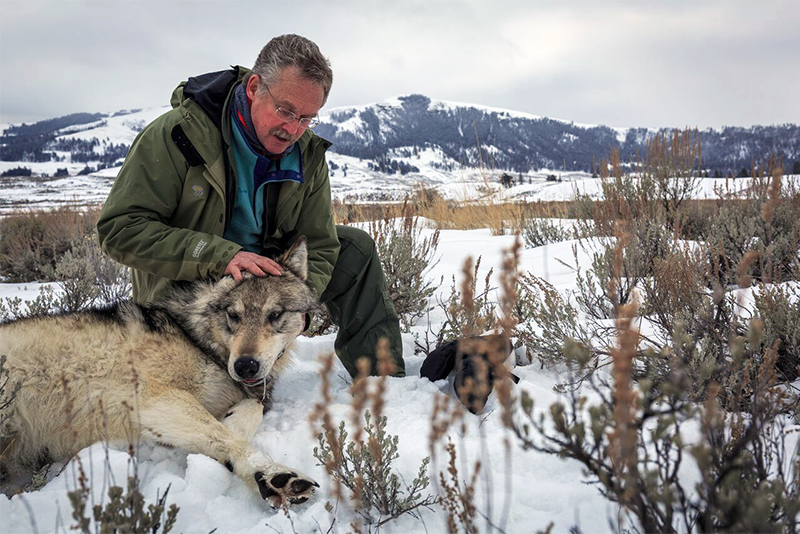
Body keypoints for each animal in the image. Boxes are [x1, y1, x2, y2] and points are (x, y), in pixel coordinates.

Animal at [0, 240, 318, 510]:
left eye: (275, 315)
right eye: (233, 316)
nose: (245, 366)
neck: (197, 339)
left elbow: (249, 410)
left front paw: (231, 423)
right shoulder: (157, 400)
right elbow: (230, 439)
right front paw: (272, 475)